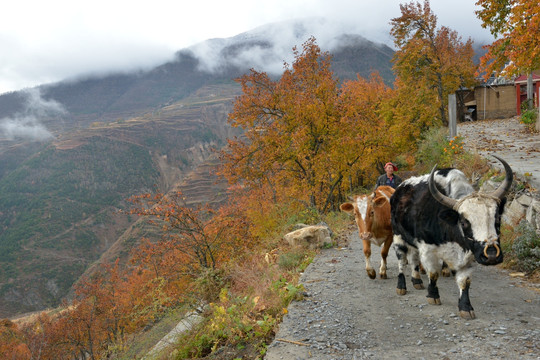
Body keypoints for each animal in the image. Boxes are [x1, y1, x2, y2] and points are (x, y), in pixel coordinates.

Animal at [390, 156, 512, 320]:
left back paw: (417, 280)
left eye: (497, 218)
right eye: (464, 222)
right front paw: (433, 295)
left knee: (413, 259)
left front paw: (466, 307)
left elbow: (464, 281)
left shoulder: (468, 256)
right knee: (402, 261)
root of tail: (400, 189)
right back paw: (401, 286)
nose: (492, 255)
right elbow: (433, 273)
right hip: (398, 237)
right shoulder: (428, 250)